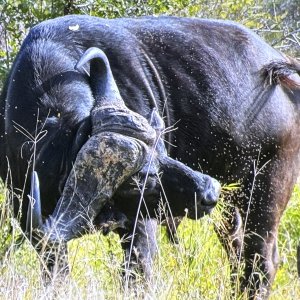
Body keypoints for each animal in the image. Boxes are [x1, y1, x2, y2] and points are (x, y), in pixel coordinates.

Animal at [0, 15, 300, 298]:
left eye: (160, 150)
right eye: (138, 180)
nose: (209, 191)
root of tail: (279, 68)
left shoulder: (141, 227)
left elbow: (137, 276)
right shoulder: (35, 225)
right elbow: (56, 275)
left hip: (266, 190)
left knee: (261, 261)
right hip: (232, 204)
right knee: (237, 252)